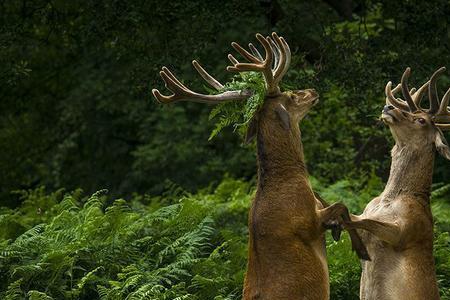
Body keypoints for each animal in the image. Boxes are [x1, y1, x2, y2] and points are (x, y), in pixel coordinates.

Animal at [153, 31, 368, 298]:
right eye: (291, 95)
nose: (312, 91)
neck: (288, 178)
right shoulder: (307, 221)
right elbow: (341, 205)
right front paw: (361, 249)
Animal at [342, 67, 448, 298]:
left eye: (421, 120)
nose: (388, 107)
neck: (388, 200)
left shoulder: (407, 230)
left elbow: (365, 221)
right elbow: (358, 218)